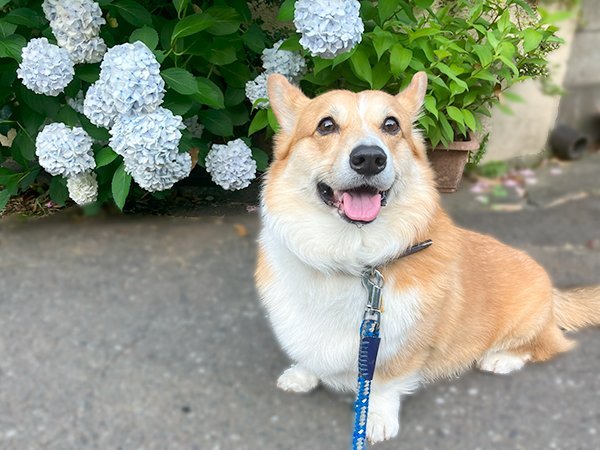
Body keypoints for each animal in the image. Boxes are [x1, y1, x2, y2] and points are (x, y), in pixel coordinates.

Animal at [254, 72, 600, 442]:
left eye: (391, 125)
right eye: (326, 125)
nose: (370, 158)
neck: (354, 258)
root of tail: (553, 292)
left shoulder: (404, 347)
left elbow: (385, 382)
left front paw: (376, 418)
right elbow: (308, 353)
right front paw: (302, 375)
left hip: (527, 322)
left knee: (547, 345)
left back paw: (500, 359)